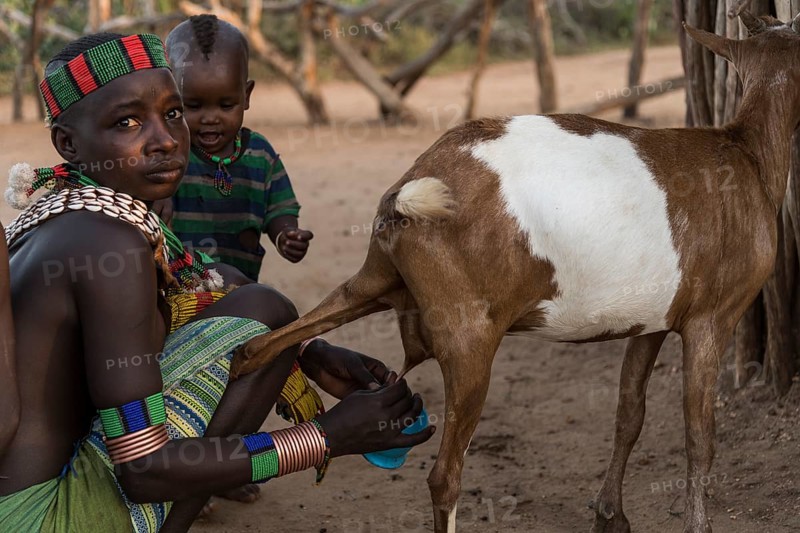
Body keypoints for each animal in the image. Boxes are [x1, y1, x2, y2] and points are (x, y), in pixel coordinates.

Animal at [232, 13, 800, 533]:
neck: (747, 155)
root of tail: (410, 189)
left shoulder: (652, 320)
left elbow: (629, 414)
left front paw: (611, 515)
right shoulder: (712, 316)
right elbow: (699, 436)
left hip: (375, 278)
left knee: (261, 346)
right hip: (469, 334)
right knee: (444, 475)